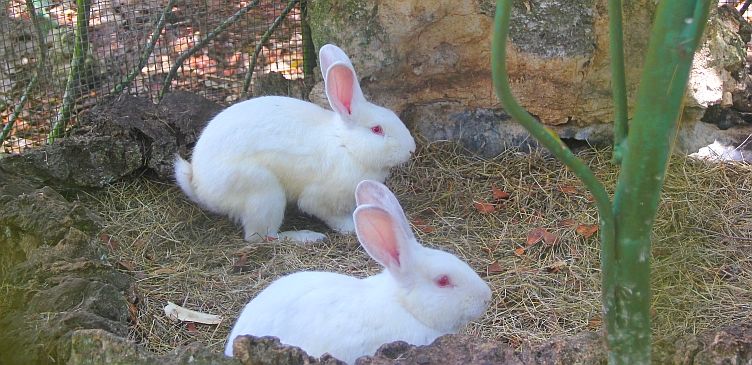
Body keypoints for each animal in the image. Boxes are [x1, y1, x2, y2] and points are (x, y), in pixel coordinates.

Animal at [175, 44, 418, 242]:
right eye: (377, 130)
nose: (411, 149)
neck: (345, 146)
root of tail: (200, 187)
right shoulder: (320, 198)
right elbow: (329, 214)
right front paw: (351, 227)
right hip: (264, 193)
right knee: (261, 237)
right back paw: (306, 237)